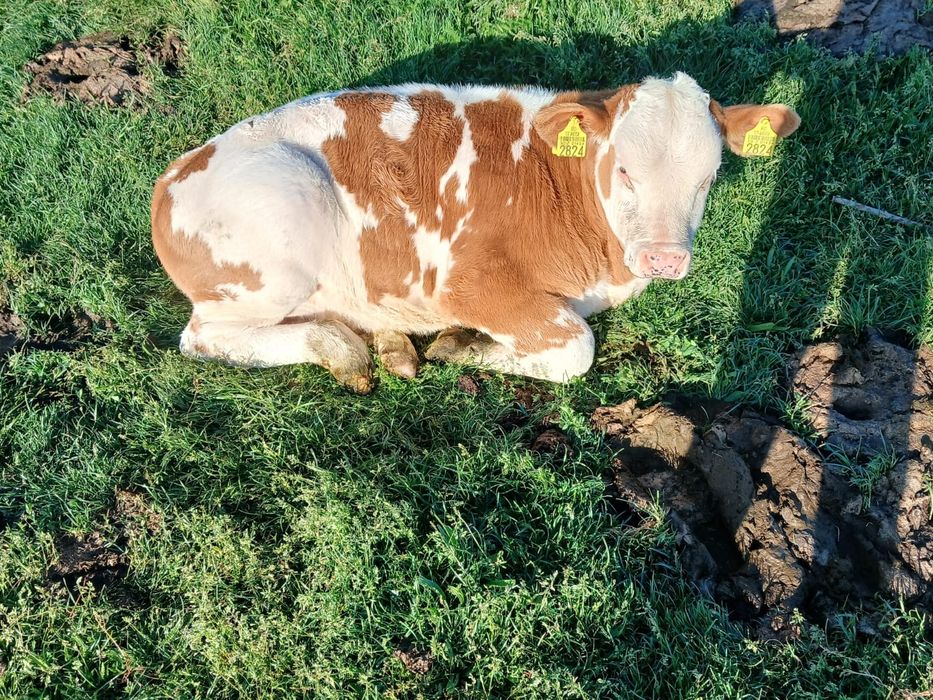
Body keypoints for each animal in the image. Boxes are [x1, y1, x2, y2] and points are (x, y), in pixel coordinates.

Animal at [151, 73, 800, 392]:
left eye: (708, 176)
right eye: (624, 171)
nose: (664, 259)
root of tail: (174, 174)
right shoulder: (466, 282)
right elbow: (576, 349)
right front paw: (464, 346)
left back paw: (388, 342)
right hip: (278, 242)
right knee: (204, 338)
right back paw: (341, 347)